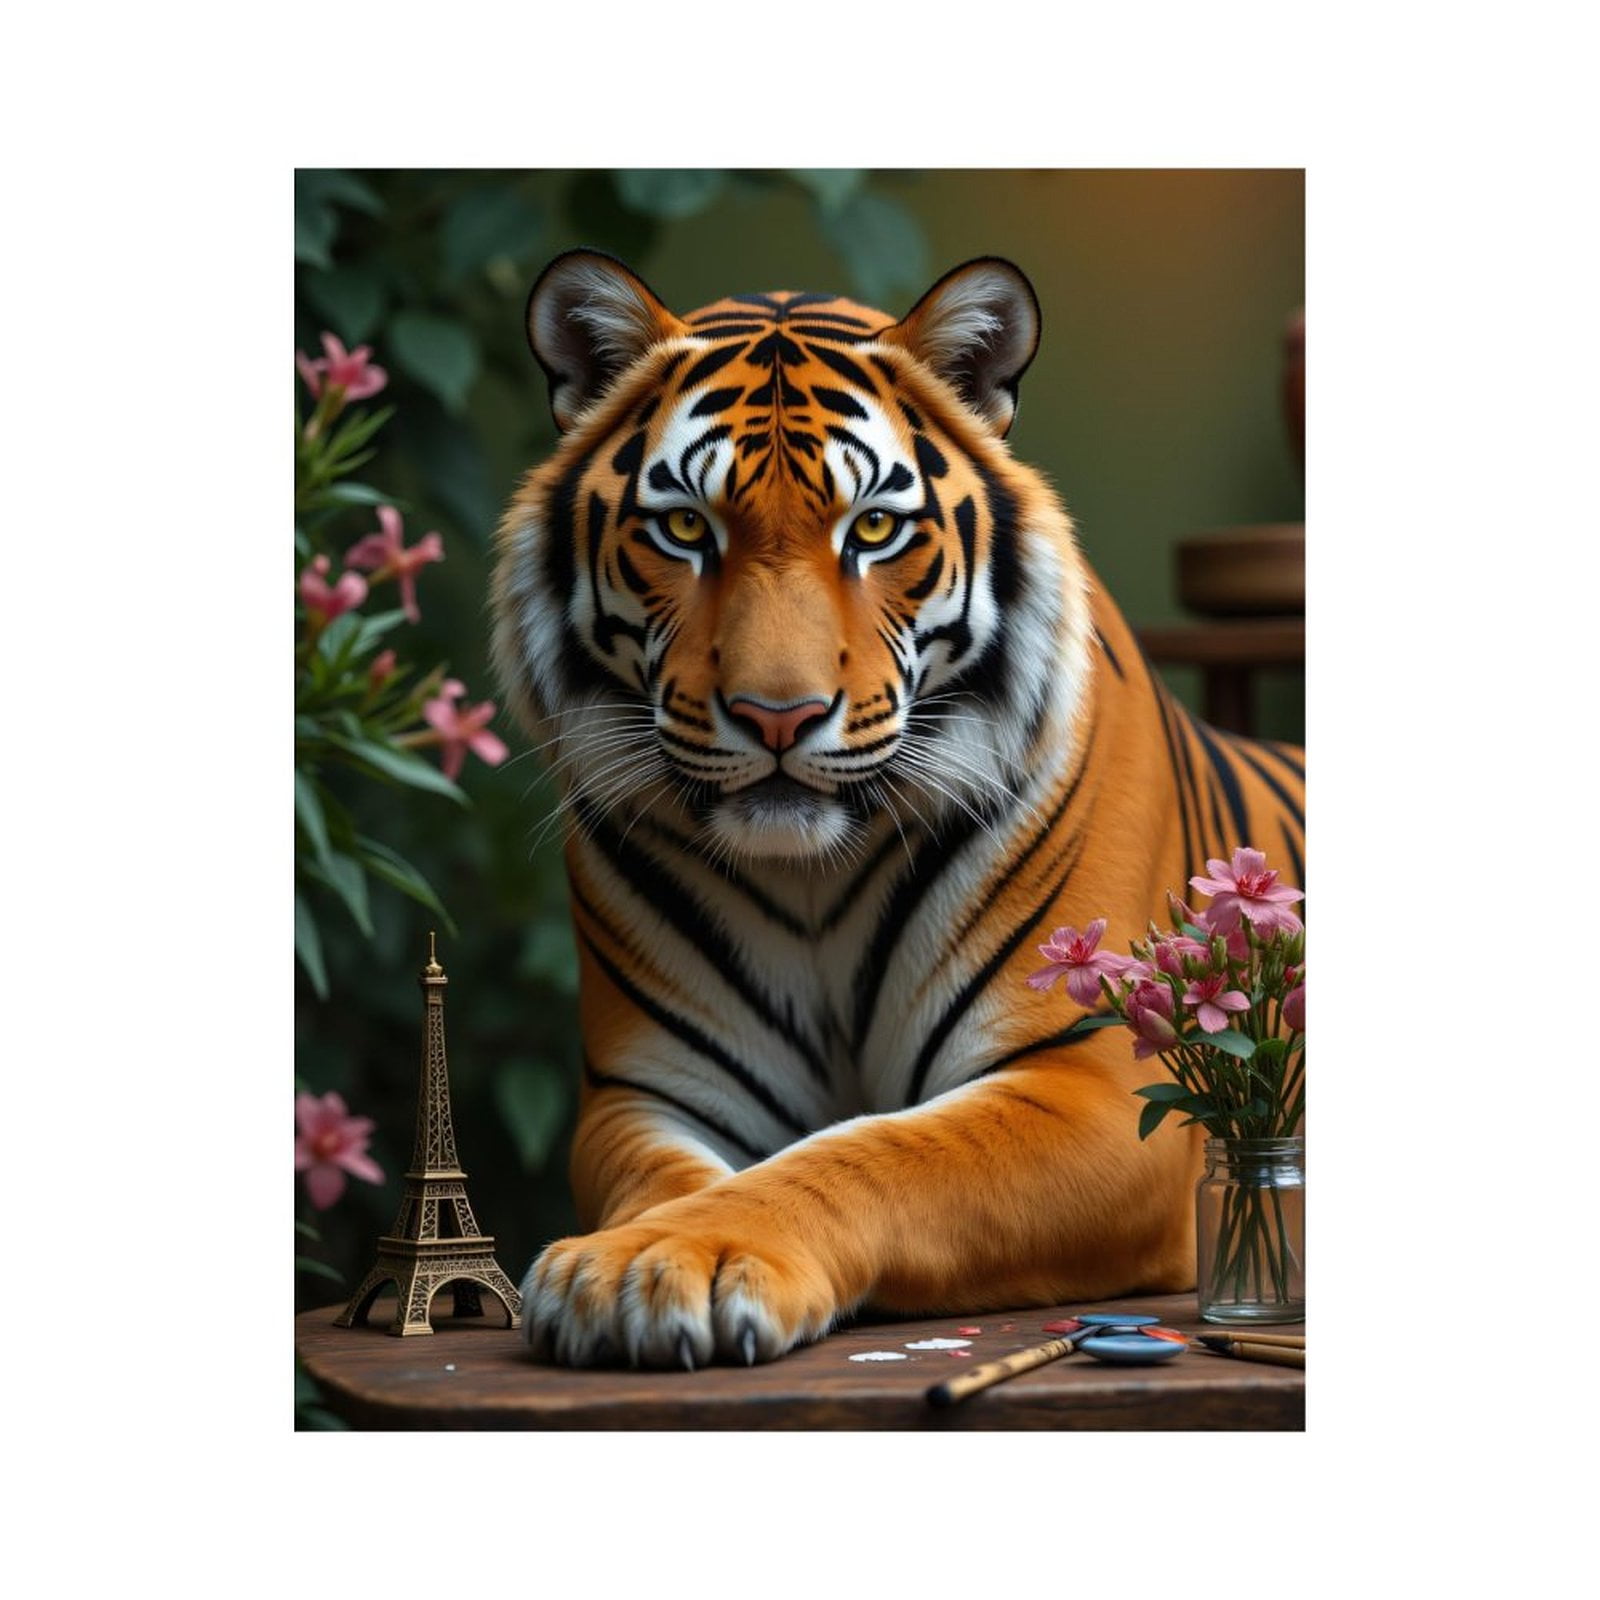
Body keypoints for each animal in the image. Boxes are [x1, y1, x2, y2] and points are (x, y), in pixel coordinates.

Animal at [490, 248, 1305, 1369]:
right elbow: (664, 1182)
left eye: (873, 527)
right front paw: (632, 1257)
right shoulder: (644, 1093)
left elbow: (866, 1153)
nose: (777, 716)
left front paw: (669, 1260)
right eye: (685, 527)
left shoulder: (1095, 1088)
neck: (810, 878)